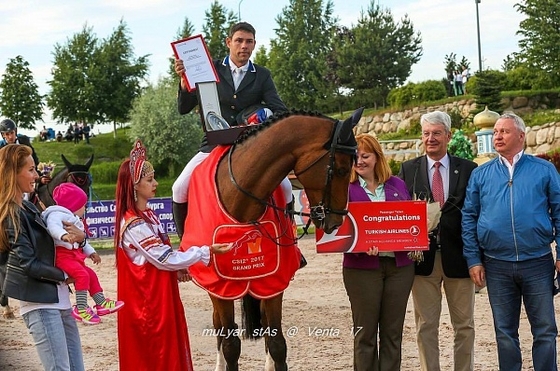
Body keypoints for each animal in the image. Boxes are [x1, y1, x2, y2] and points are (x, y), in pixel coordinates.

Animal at [180, 109, 364, 370]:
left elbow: (278, 343)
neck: (241, 196)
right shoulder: (221, 287)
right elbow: (230, 345)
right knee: (219, 328)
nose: (336, 222)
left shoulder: (273, 281)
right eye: (340, 169)